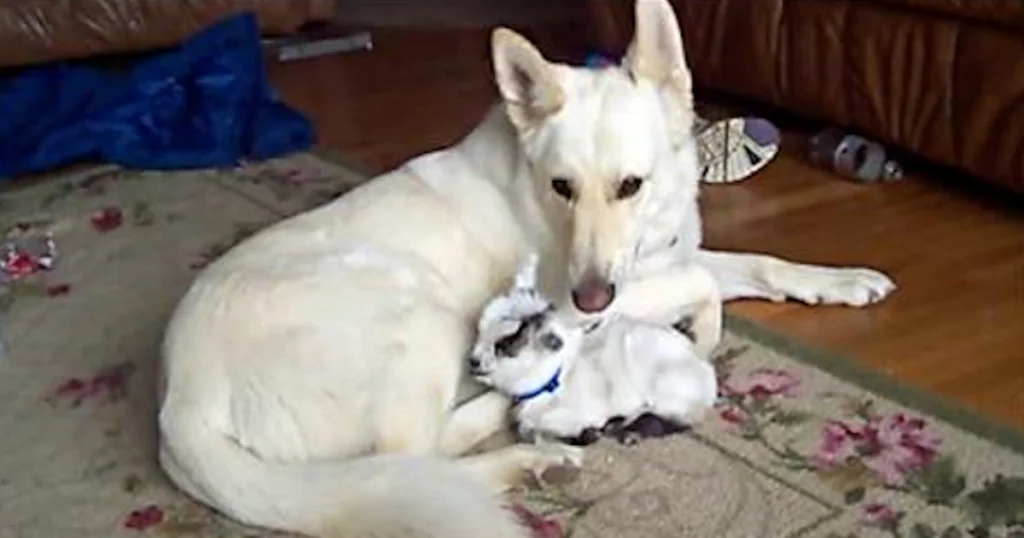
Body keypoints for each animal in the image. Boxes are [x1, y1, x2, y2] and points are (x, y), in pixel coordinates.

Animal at [153, 0, 897, 532]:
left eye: (630, 185)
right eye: (563, 186)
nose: (591, 300)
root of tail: (178, 405)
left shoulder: (654, 261)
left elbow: (755, 262)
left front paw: (841, 282)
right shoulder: (587, 298)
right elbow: (703, 281)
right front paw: (700, 329)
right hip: (419, 315)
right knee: (413, 461)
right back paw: (523, 441)